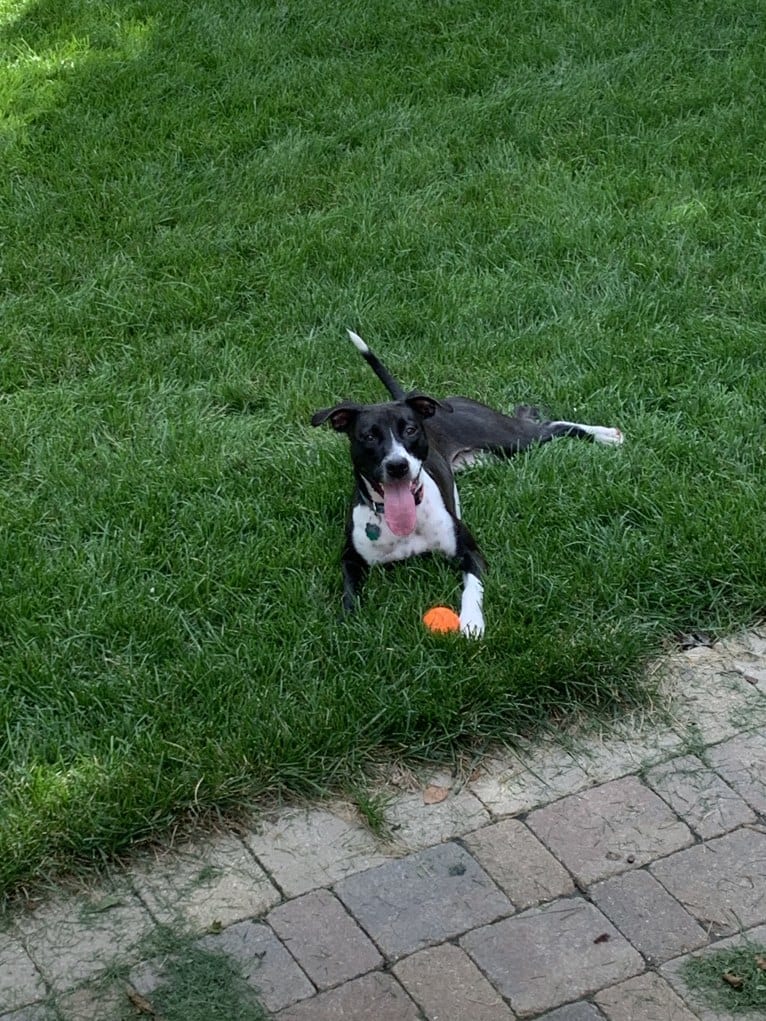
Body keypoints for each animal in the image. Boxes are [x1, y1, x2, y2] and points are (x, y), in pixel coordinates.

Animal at [312, 332, 625, 637]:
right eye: (368, 436)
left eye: (410, 430)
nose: (397, 465)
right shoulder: (350, 560)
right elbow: (349, 593)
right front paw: (347, 624)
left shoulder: (470, 553)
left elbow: (472, 588)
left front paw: (472, 622)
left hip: (511, 438)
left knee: (549, 425)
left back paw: (605, 435)